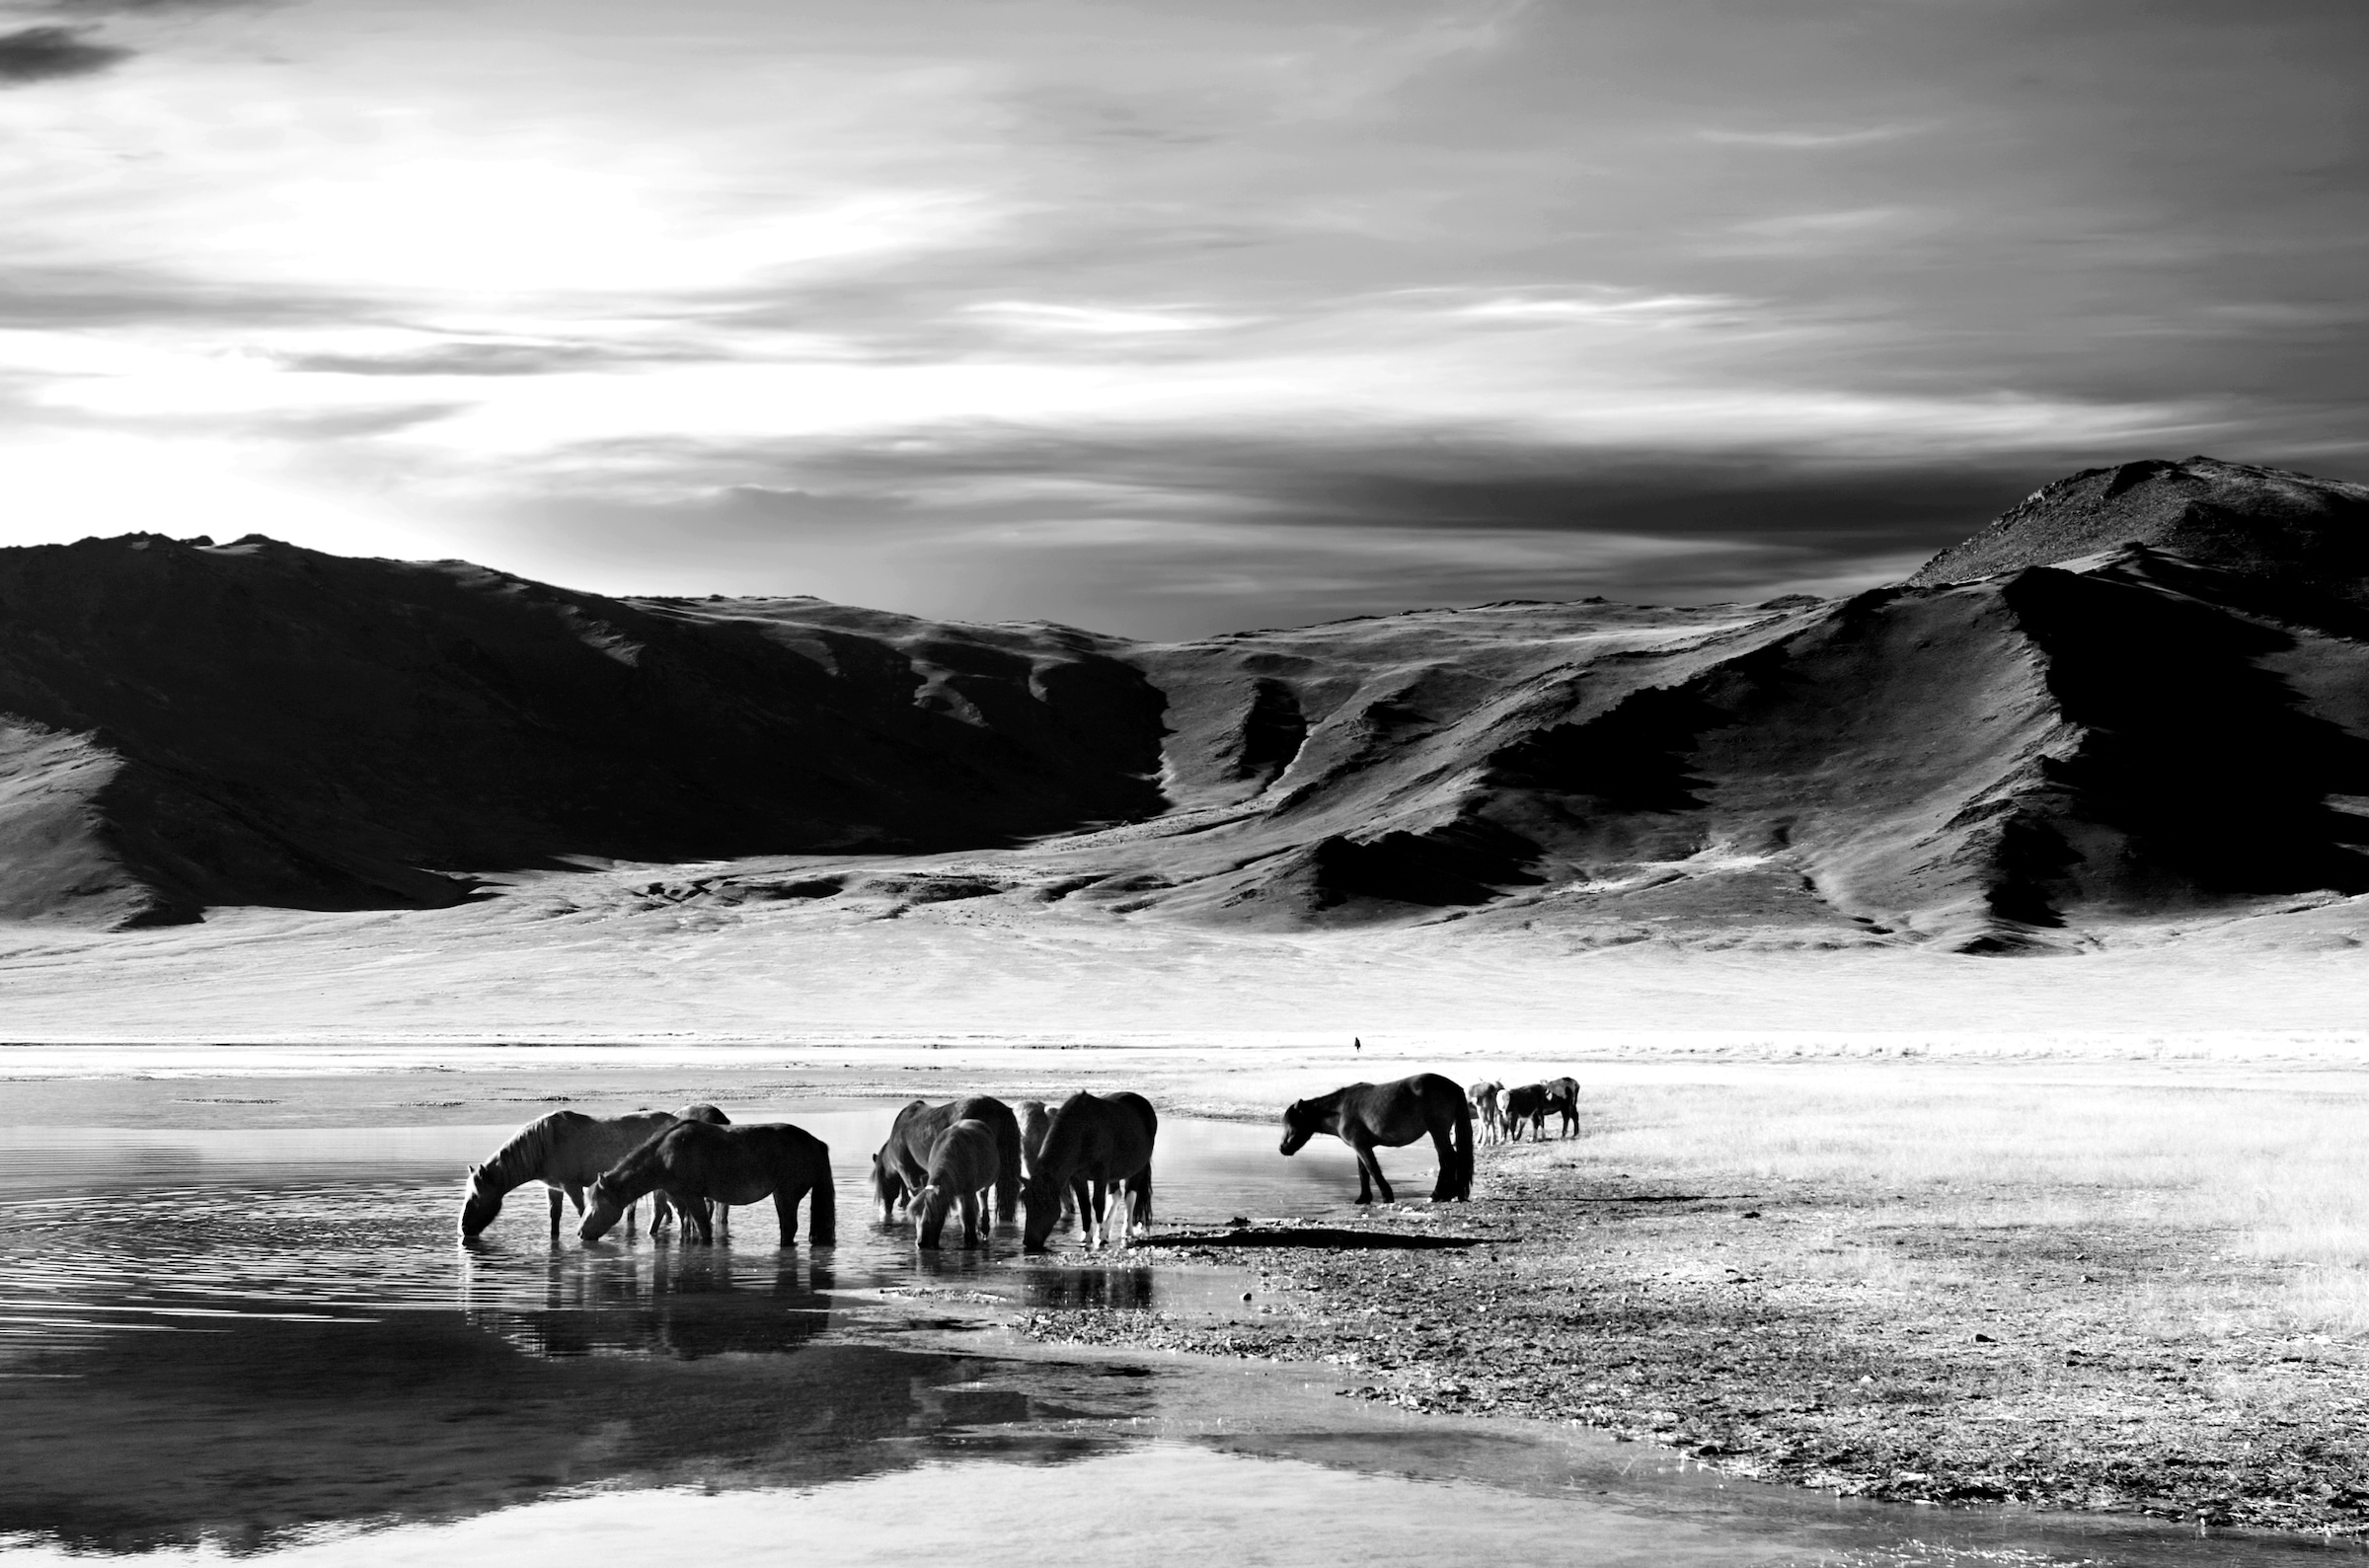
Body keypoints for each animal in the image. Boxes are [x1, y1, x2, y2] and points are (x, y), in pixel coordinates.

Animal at [577, 1122, 838, 1250]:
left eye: (596, 1205)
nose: (581, 1233)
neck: (664, 1155)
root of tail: (816, 1143)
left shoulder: (693, 1197)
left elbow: (703, 1228)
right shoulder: (679, 1199)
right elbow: (685, 1226)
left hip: (785, 1195)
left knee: (788, 1228)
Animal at [904, 1122, 999, 1259]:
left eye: (934, 1216)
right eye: (915, 1217)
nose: (921, 1243)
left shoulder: (967, 1192)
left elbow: (968, 1217)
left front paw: (971, 1241)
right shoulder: (959, 1194)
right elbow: (965, 1217)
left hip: (984, 1186)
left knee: (982, 1198)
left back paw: (984, 1229)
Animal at [1023, 1093, 1161, 1250]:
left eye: (1044, 1204)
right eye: (1026, 1203)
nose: (1029, 1241)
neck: (1083, 1132)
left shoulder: (1101, 1175)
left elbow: (1098, 1203)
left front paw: (1098, 1238)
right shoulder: (1077, 1177)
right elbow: (1084, 1204)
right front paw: (1087, 1236)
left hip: (1138, 1169)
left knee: (1130, 1196)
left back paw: (1126, 1231)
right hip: (1114, 1175)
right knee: (1115, 1196)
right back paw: (1106, 1232)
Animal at [1288, 1075, 1469, 1208]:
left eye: (1293, 1124)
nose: (1284, 1148)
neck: (1341, 1110)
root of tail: (1454, 1087)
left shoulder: (1361, 1146)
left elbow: (1372, 1169)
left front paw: (1386, 1196)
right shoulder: (1361, 1146)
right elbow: (1363, 1172)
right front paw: (1363, 1198)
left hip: (1438, 1131)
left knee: (1448, 1160)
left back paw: (1438, 1195)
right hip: (1438, 1133)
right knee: (1448, 1160)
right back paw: (1450, 1194)